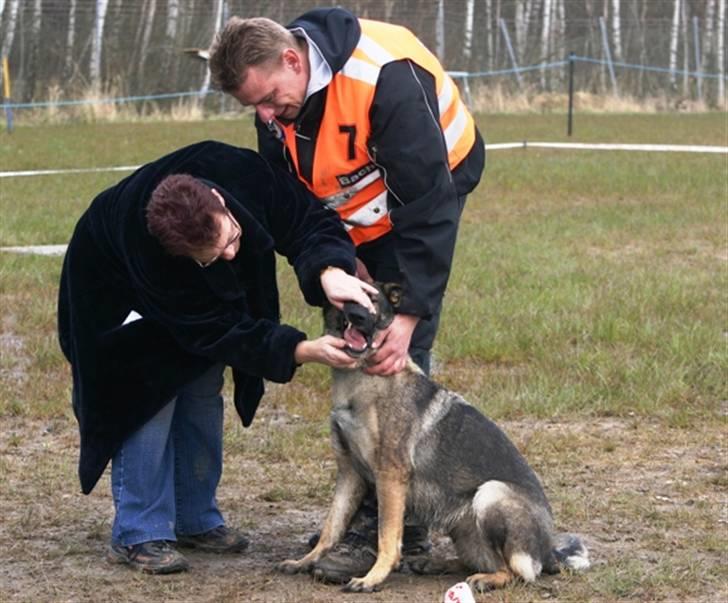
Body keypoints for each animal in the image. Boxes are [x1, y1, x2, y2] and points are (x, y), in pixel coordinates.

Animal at [276, 286, 588, 592]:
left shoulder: (390, 476)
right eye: (348, 299)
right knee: (481, 562)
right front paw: (305, 561)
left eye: (373, 299)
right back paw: (436, 564)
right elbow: (331, 527)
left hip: (490, 494)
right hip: (463, 526)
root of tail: (549, 553)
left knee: (517, 572)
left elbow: (386, 536)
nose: (358, 317)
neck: (362, 379)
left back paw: (486, 579)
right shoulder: (350, 473)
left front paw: (373, 578)